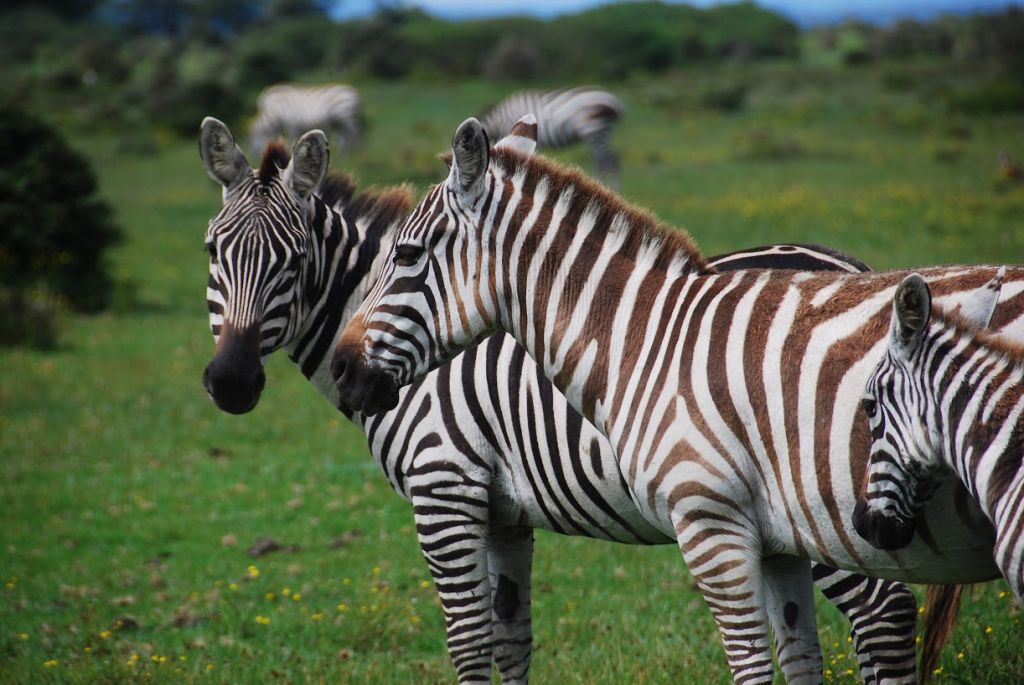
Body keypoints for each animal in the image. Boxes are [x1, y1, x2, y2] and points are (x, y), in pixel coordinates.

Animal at [197, 116, 951, 684]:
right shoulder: (504, 514)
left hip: (815, 505)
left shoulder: (445, 488)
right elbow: (510, 639)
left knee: (883, 615)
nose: (231, 382)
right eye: (210, 252)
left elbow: (467, 643)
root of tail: (859, 270)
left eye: (294, 262)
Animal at [478, 87, 624, 191]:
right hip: (600, 132)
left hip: (594, 129)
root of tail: (615, 103)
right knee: (605, 160)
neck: (499, 120)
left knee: (609, 160)